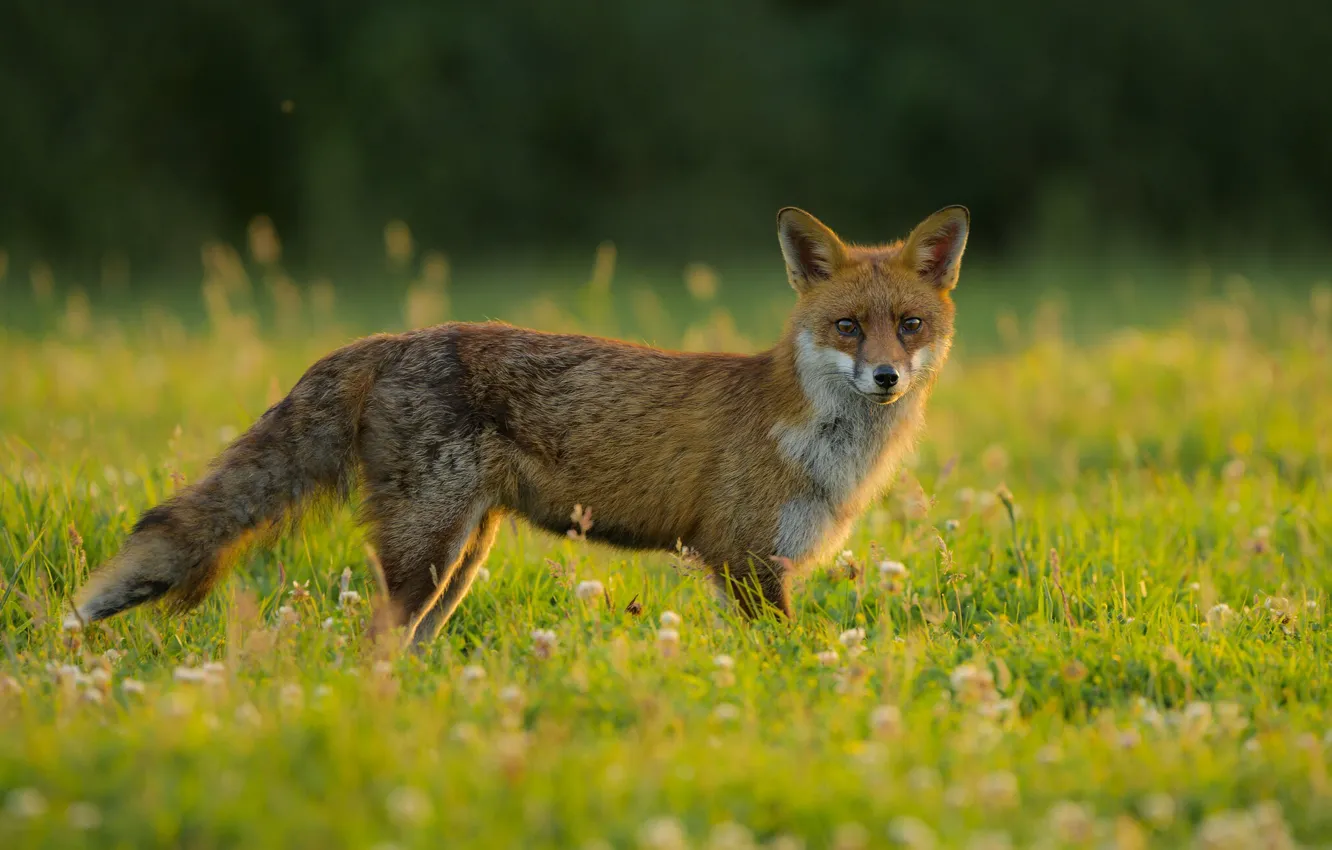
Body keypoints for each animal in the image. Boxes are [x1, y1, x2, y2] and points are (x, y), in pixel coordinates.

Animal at [72, 205, 969, 646]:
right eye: (849, 327)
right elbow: (786, 659)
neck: (820, 444)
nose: (886, 377)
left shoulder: (759, 565)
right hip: (430, 557)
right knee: (370, 644)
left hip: (462, 560)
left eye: (909, 327)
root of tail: (391, 338)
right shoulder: (742, 559)